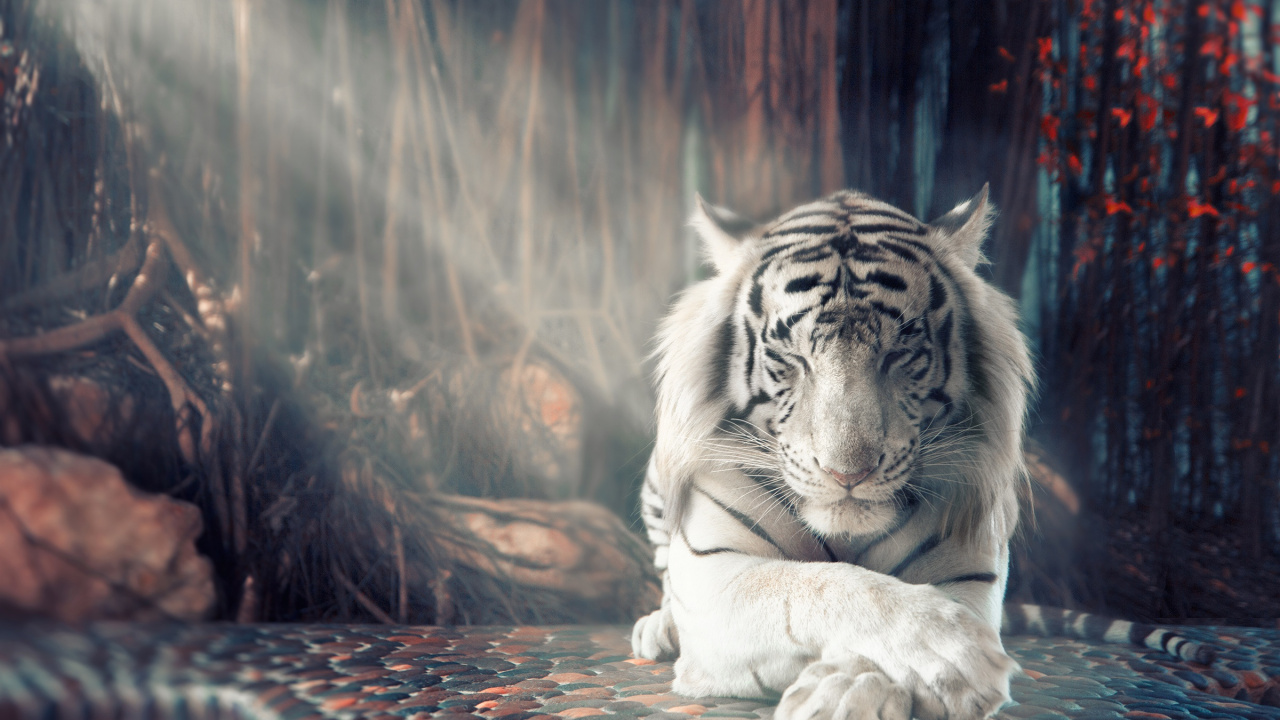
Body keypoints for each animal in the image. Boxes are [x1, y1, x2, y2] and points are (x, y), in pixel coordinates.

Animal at [630, 187, 1213, 720]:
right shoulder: (716, 575)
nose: (847, 473)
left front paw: (847, 691)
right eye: (791, 357)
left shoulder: (970, 574)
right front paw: (950, 653)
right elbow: (820, 586)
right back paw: (658, 628)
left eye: (900, 352)